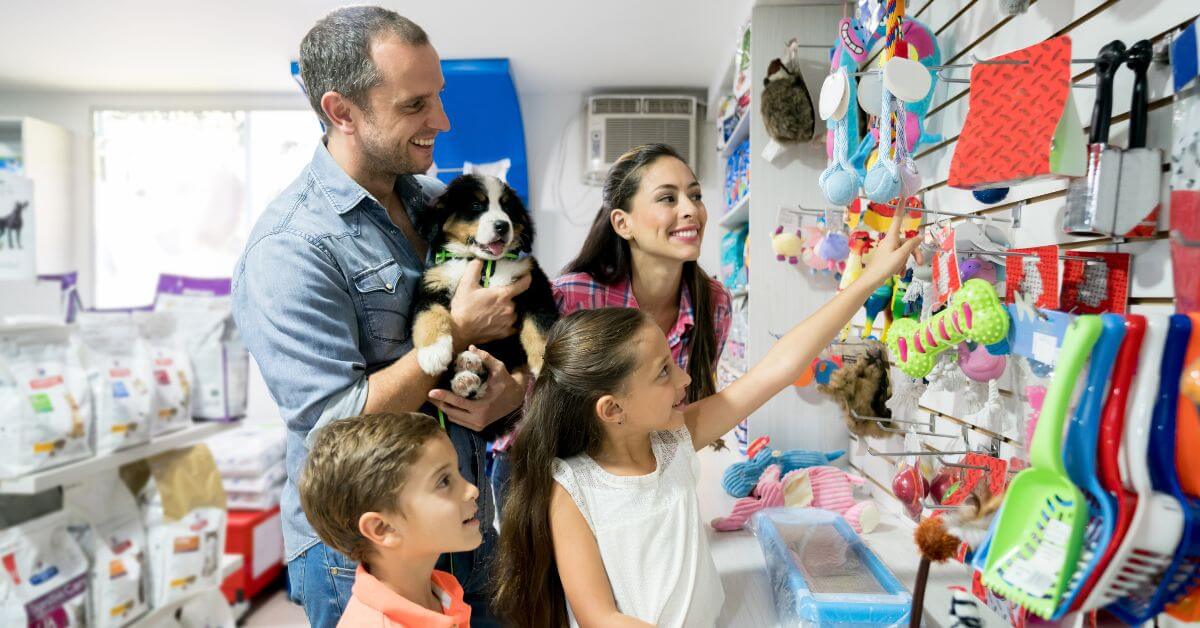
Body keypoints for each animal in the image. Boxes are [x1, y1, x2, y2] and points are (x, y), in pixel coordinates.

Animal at [410, 174, 559, 401]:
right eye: (476, 205)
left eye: (508, 209)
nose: (502, 226)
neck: (483, 263)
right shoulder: (432, 286)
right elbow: (429, 314)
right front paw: (433, 353)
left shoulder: (535, 286)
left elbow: (539, 326)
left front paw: (546, 364)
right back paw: (465, 377)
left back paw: (470, 367)